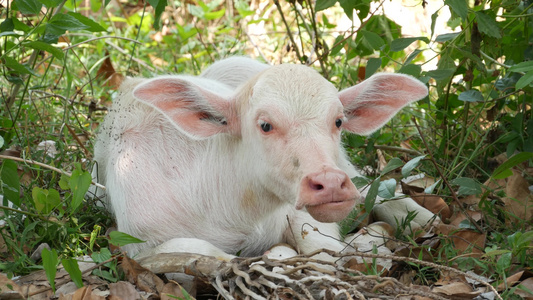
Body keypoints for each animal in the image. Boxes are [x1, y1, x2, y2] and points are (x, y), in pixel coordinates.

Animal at [93, 57, 428, 258]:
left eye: (338, 121)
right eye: (265, 125)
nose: (330, 183)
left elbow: (322, 249)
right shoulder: (137, 243)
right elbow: (203, 252)